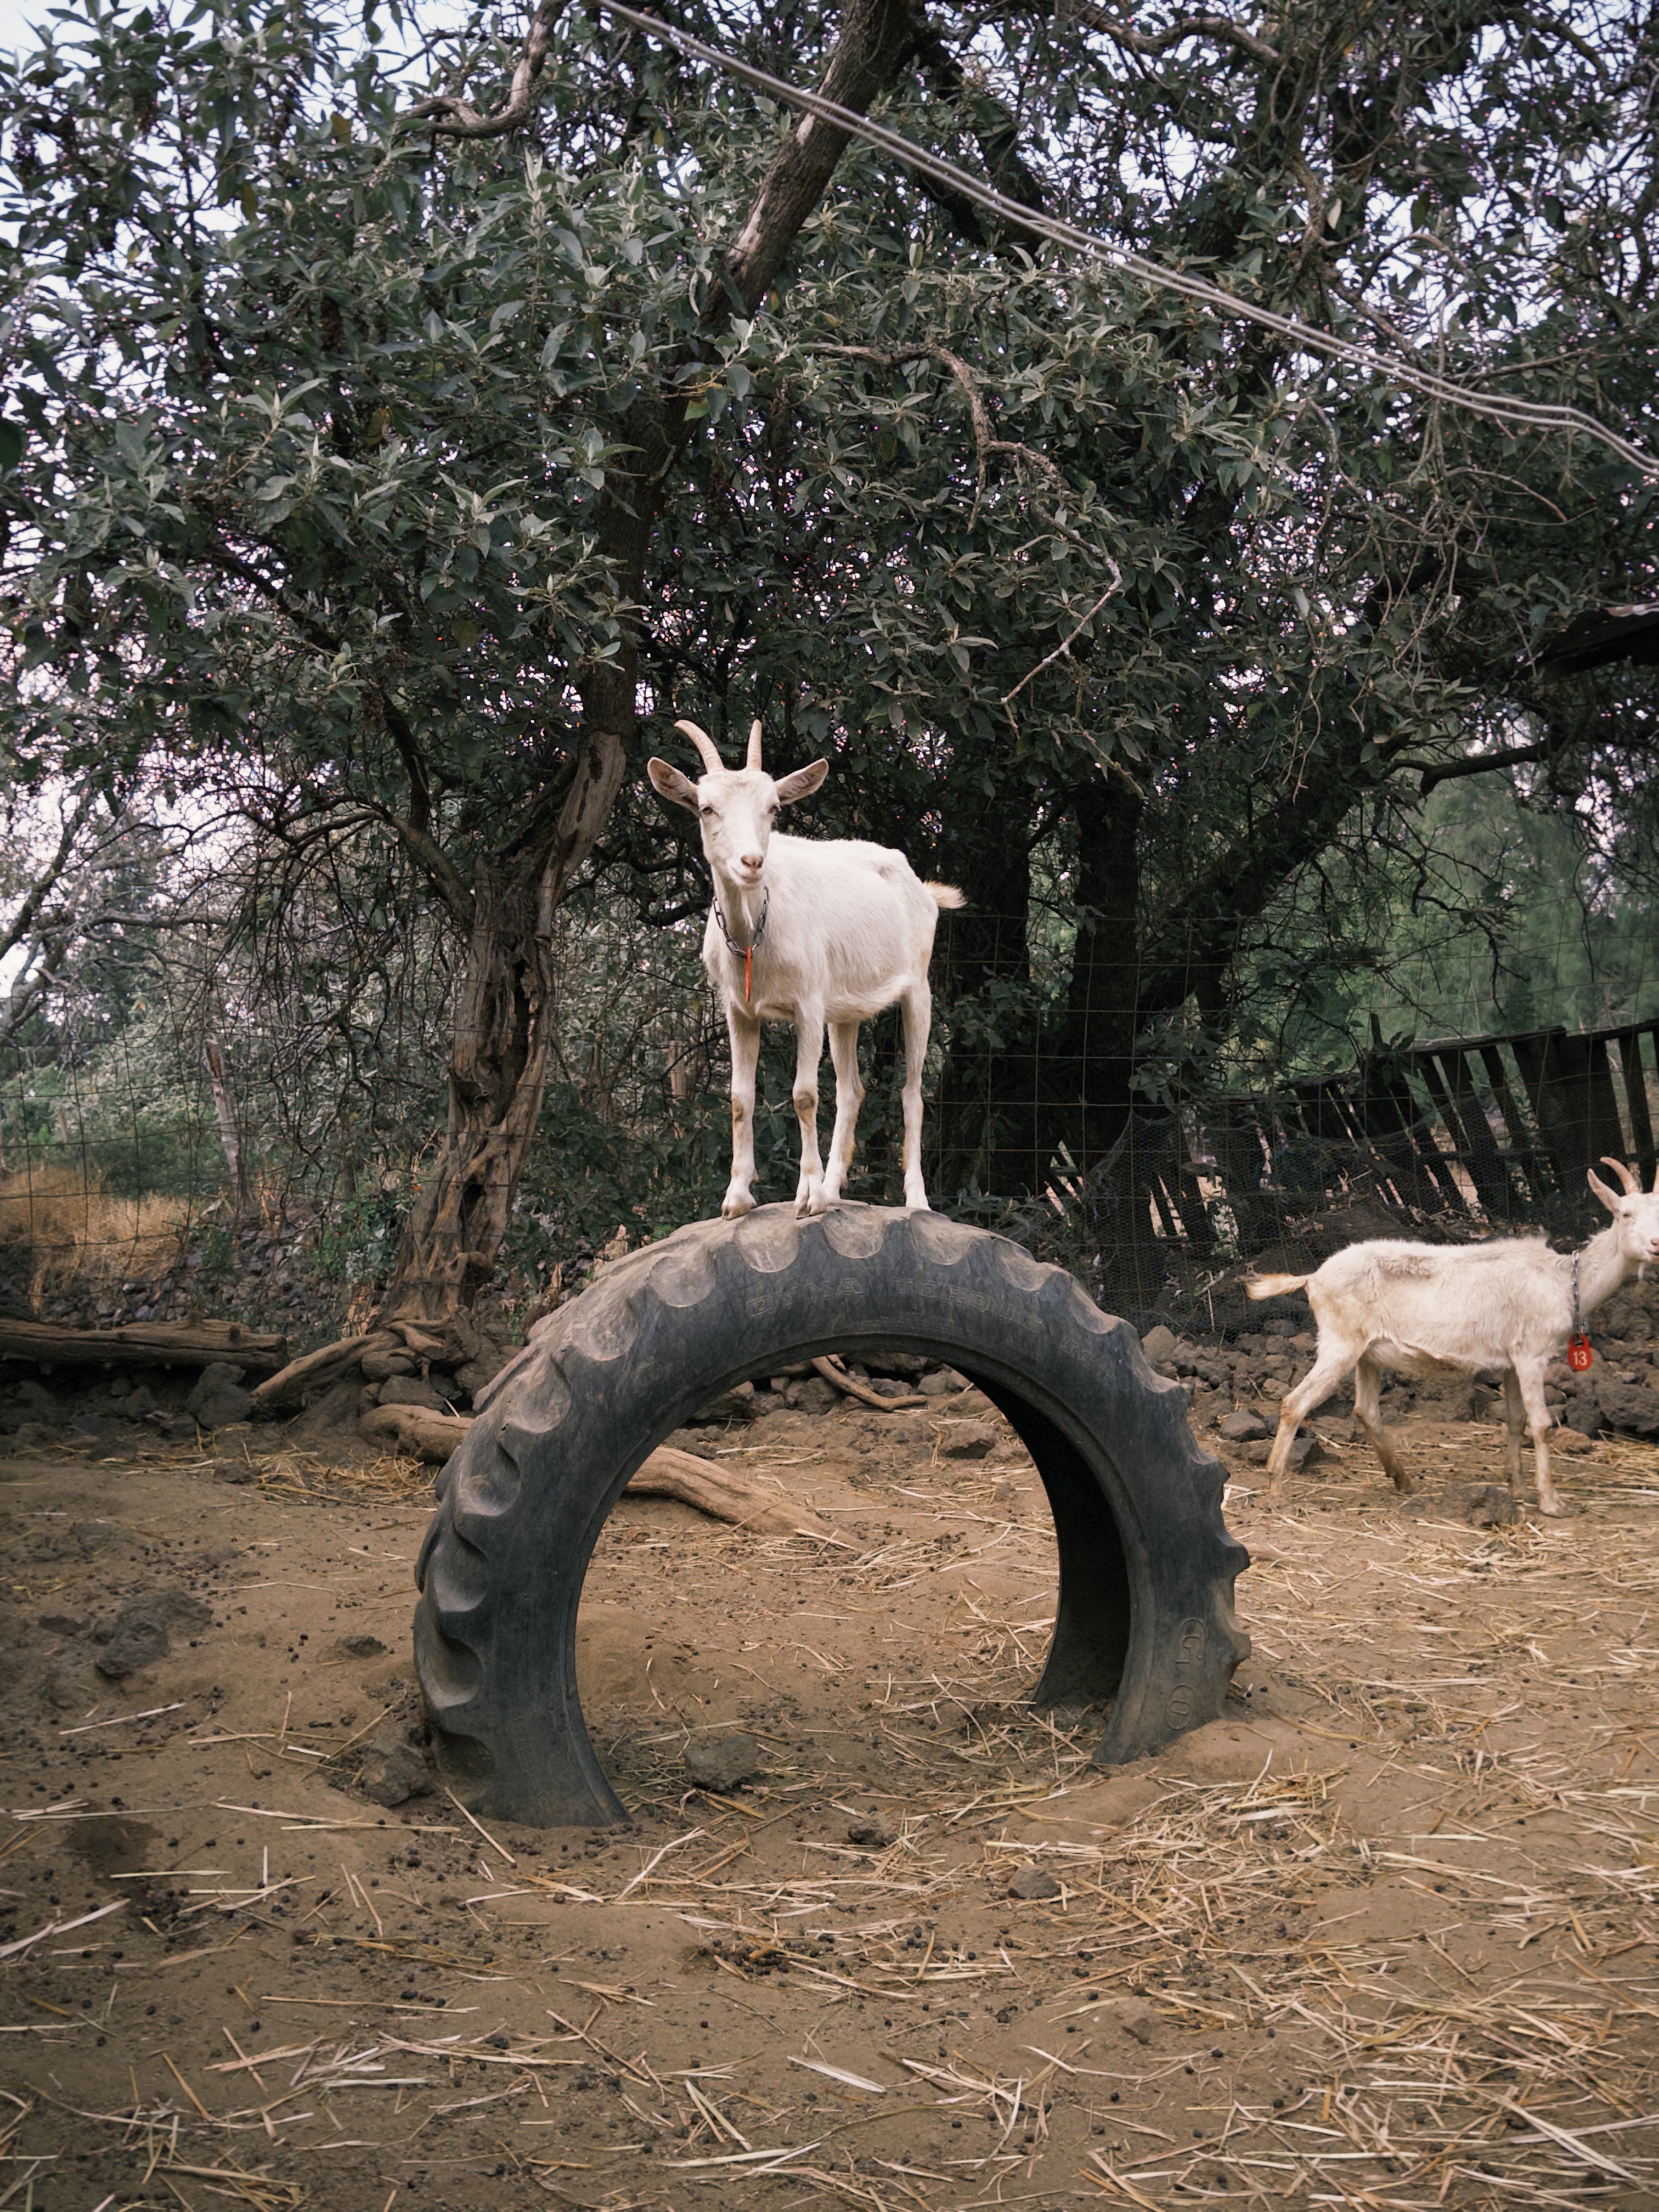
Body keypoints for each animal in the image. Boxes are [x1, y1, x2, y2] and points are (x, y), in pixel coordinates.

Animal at [648, 719, 963, 1219]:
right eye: (706, 808)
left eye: (774, 808)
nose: (752, 862)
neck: (755, 933)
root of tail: (921, 887)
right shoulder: (739, 1010)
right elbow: (740, 1099)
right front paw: (736, 1199)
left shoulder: (808, 1005)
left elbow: (804, 1095)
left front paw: (808, 1196)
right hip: (846, 1011)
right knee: (853, 1090)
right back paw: (836, 1190)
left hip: (918, 990)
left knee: (912, 1093)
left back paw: (915, 1200)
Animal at [1245, 1159, 1659, 1516]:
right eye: (1625, 1215)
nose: (1656, 1245)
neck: (1563, 1281)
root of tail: (1313, 1277)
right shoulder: (1531, 1354)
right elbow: (1541, 1423)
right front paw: (1551, 1502)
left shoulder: (1511, 1361)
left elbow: (1515, 1421)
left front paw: (1518, 1489)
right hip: (1340, 1341)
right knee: (1295, 1403)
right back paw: (1275, 1488)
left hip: (1368, 1353)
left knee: (1366, 1410)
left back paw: (1403, 1480)